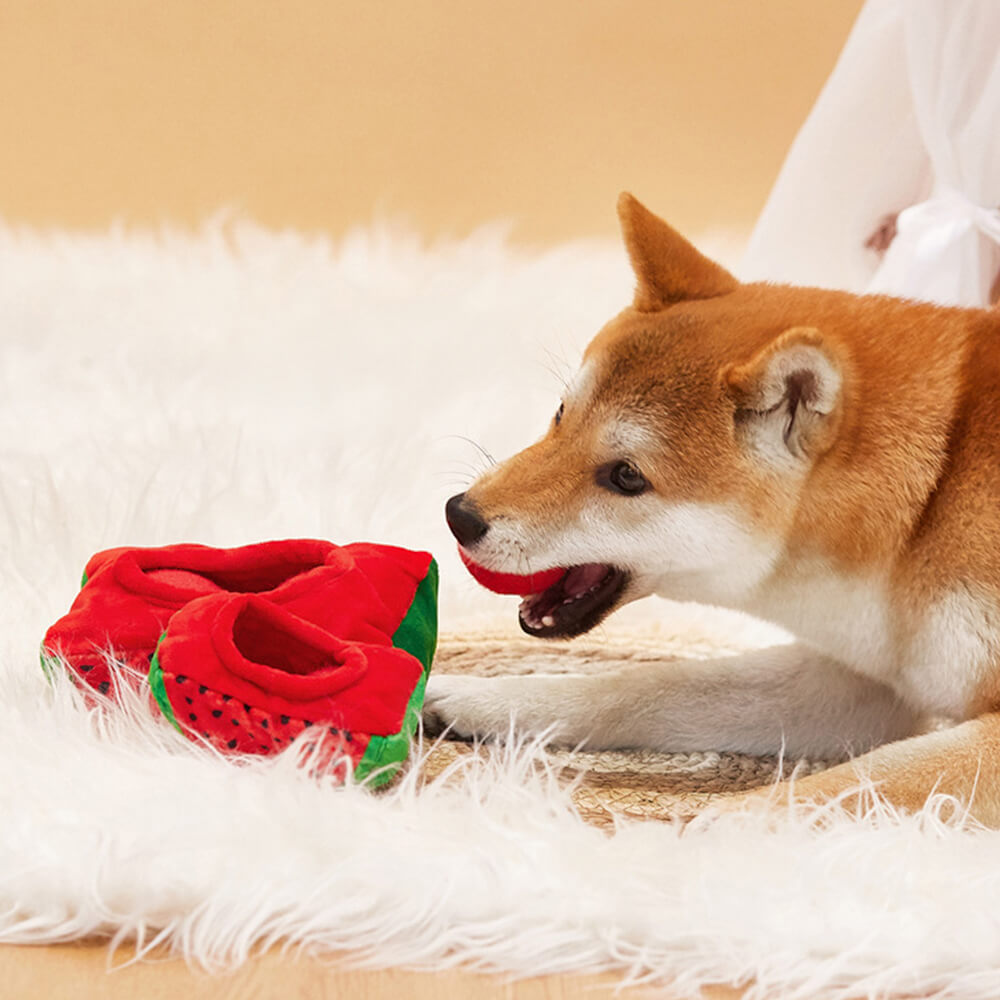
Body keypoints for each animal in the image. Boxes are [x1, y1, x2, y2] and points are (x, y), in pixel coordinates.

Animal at [426, 193, 1000, 820]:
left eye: (626, 476)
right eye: (560, 414)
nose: (460, 515)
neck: (932, 500)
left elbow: (825, 793)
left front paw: (684, 833)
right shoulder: (874, 678)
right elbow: (646, 687)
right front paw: (482, 696)